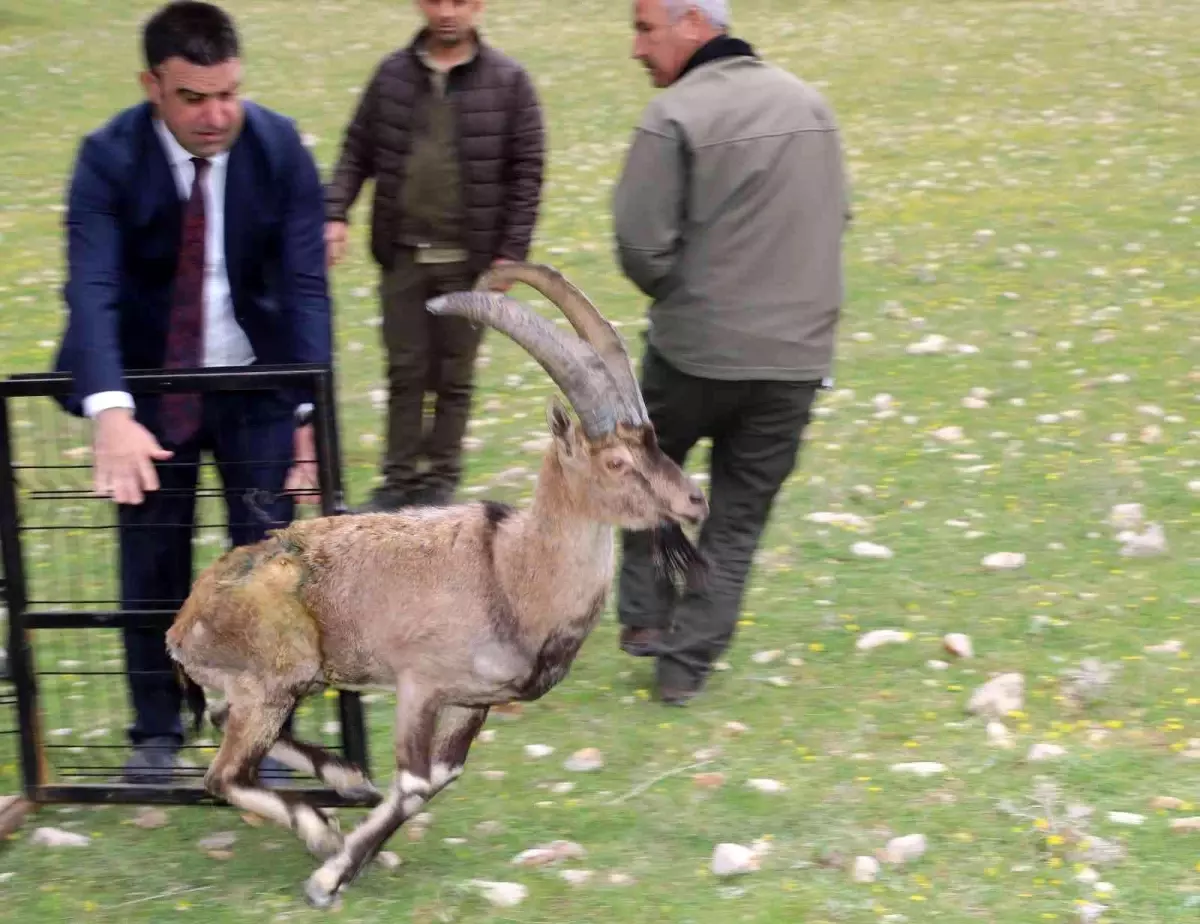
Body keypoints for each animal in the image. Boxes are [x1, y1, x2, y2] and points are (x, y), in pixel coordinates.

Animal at [169, 261, 710, 907]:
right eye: (617, 463)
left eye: (653, 443)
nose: (694, 500)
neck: (512, 572)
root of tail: (182, 625)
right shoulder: (420, 682)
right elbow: (413, 780)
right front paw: (328, 876)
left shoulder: (474, 701)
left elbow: (439, 778)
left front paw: (347, 858)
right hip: (279, 670)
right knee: (223, 773)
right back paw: (320, 824)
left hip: (275, 684)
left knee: (224, 722)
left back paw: (348, 780)